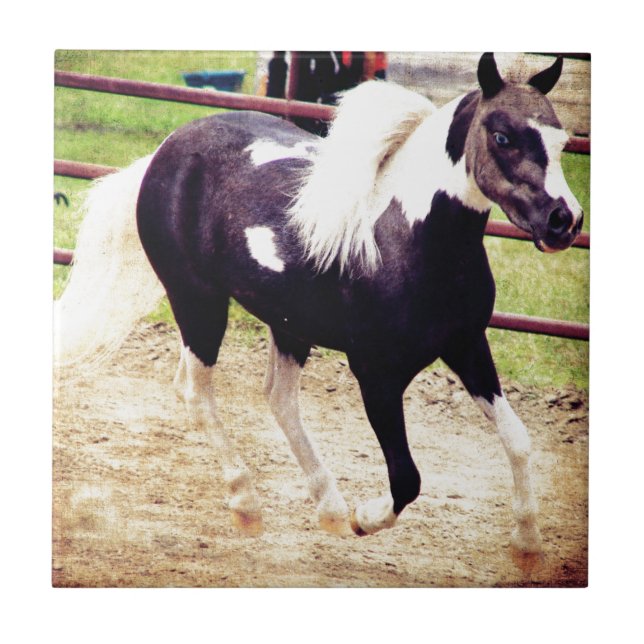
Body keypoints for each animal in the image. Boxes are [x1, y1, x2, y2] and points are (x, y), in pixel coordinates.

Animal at [54, 53, 583, 552]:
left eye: (560, 141)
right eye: (503, 136)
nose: (565, 221)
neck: (410, 240)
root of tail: (165, 151)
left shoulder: (468, 346)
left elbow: (518, 440)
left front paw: (527, 544)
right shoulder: (375, 373)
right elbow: (406, 478)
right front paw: (364, 519)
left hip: (286, 324)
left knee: (278, 398)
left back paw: (327, 507)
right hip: (198, 302)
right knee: (197, 393)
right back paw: (248, 504)